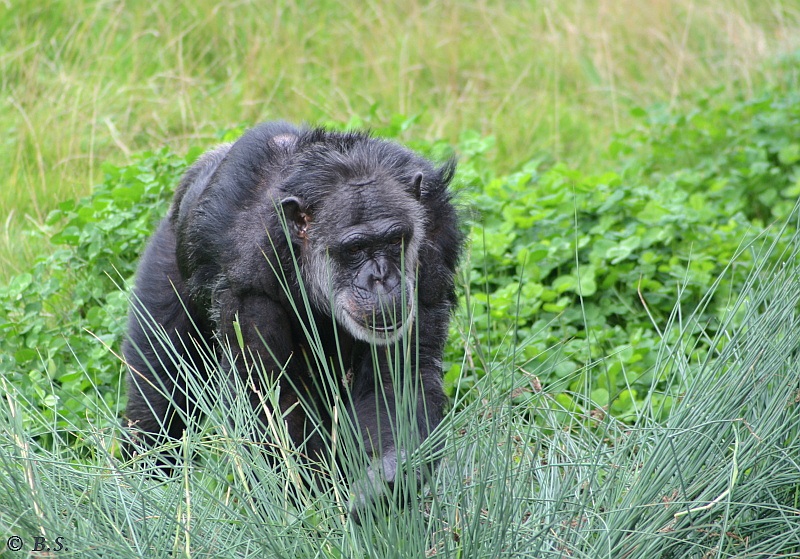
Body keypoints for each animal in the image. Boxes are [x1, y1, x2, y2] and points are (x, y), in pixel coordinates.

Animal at [124, 121, 462, 516]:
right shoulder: (250, 279)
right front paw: (313, 509)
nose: (381, 278)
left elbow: (398, 382)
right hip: (163, 264)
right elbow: (271, 400)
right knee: (157, 393)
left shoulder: (431, 254)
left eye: (395, 240)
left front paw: (386, 480)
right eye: (356, 248)